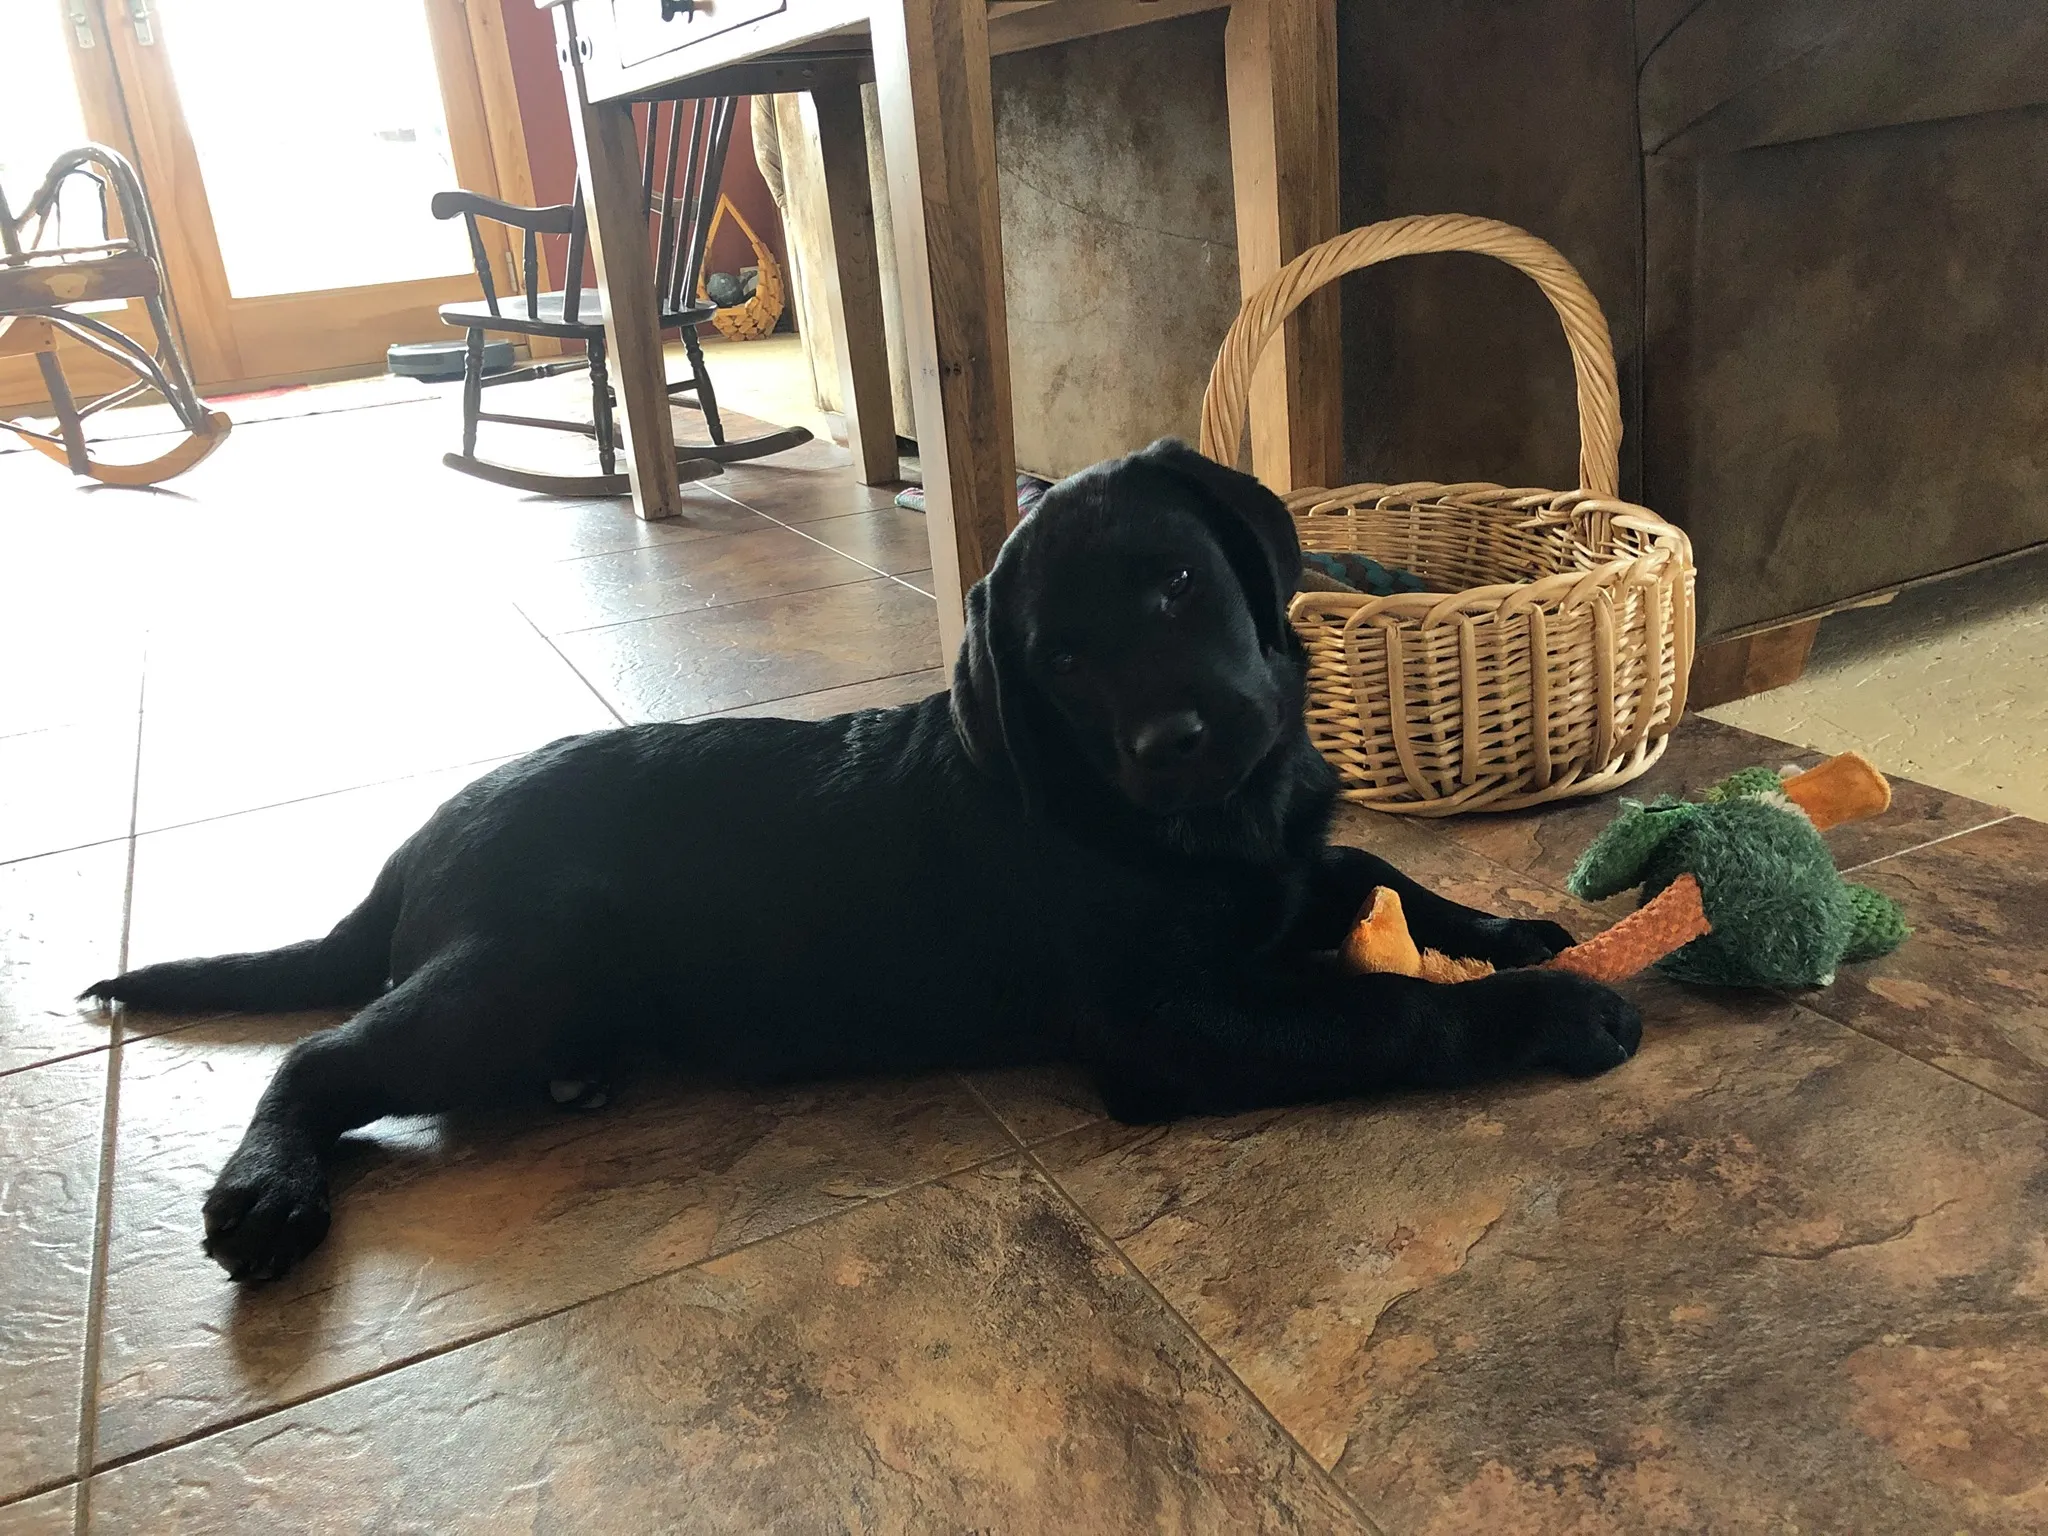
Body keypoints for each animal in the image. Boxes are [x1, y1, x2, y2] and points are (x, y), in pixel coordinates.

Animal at [83, 438, 1646, 1277]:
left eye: (1177, 581)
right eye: (1059, 660)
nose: (1174, 740)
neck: (1205, 821)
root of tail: (419, 841)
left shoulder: (1287, 868)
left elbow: (1386, 884)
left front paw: (1518, 932)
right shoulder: (1169, 1023)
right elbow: (1383, 1009)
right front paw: (1556, 1008)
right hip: (518, 967)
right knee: (319, 1056)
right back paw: (266, 1192)